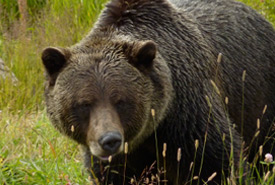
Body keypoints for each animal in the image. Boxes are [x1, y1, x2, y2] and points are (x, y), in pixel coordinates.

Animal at [41, 0, 275, 184]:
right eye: (84, 103)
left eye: (121, 101)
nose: (109, 140)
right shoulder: (117, 158)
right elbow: (112, 173)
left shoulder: (188, 116)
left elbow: (217, 162)